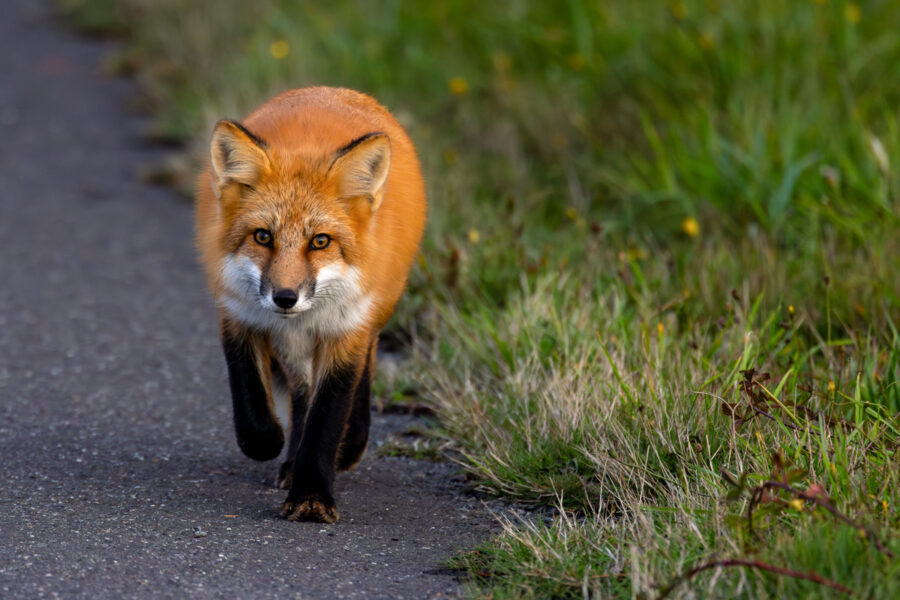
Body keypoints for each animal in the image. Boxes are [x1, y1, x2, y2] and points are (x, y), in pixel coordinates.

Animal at [194, 86, 426, 524]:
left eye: (320, 241)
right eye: (263, 236)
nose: (285, 297)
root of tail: (331, 91)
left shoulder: (344, 331)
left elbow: (326, 419)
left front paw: (312, 496)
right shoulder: (237, 315)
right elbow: (253, 407)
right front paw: (271, 444)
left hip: (370, 314)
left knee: (362, 372)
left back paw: (349, 446)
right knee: (300, 394)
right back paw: (290, 459)